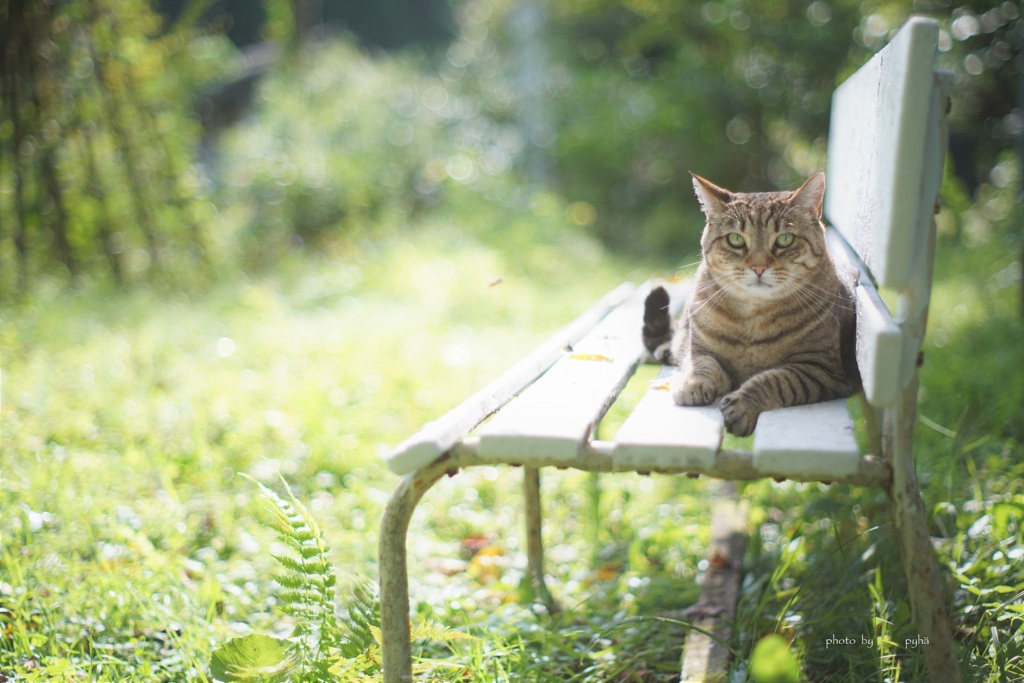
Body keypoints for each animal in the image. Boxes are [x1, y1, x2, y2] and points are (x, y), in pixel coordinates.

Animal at [643, 174, 860, 436]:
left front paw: (743, 404)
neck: (751, 318)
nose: (758, 267)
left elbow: (776, 380)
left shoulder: (822, 369)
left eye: (785, 239)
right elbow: (701, 364)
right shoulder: (700, 349)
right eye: (735, 239)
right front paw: (693, 383)